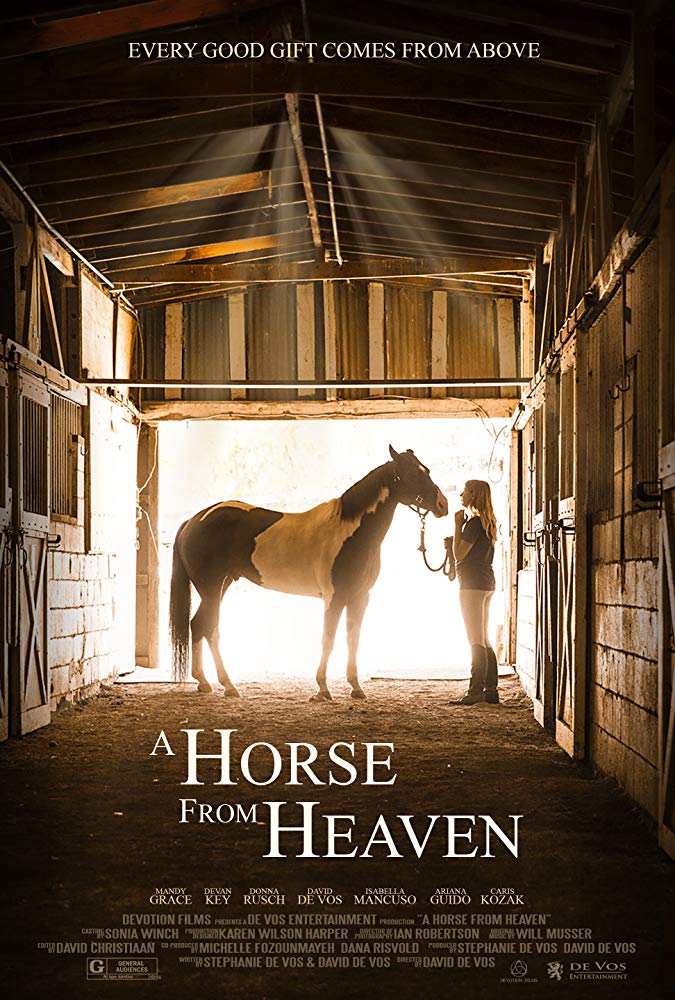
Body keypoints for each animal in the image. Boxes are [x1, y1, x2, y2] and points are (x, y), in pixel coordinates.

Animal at [169, 445, 448, 701]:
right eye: (413, 473)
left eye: (426, 470)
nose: (443, 504)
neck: (349, 531)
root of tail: (193, 521)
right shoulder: (334, 598)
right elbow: (328, 639)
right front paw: (322, 689)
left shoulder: (359, 597)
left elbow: (353, 639)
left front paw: (356, 687)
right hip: (211, 588)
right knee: (210, 628)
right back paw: (228, 685)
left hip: (221, 585)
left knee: (199, 625)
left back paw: (205, 682)